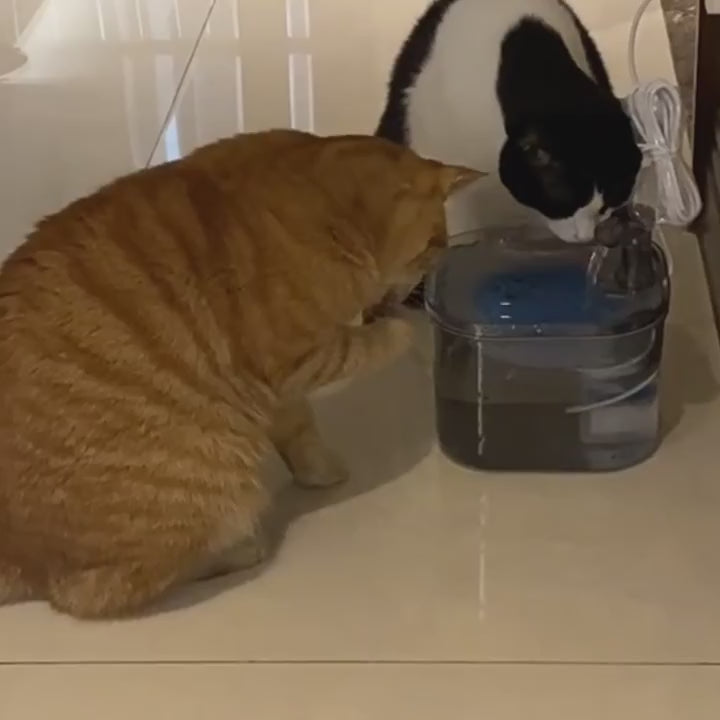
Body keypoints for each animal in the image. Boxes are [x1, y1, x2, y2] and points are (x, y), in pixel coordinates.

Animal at [0, 129, 480, 619]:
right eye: (434, 248)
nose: (414, 292)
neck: (324, 198)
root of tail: (14, 551)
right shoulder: (301, 357)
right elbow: (369, 345)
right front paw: (398, 331)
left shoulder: (277, 387)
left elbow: (300, 430)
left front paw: (320, 472)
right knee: (92, 592)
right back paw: (240, 549)